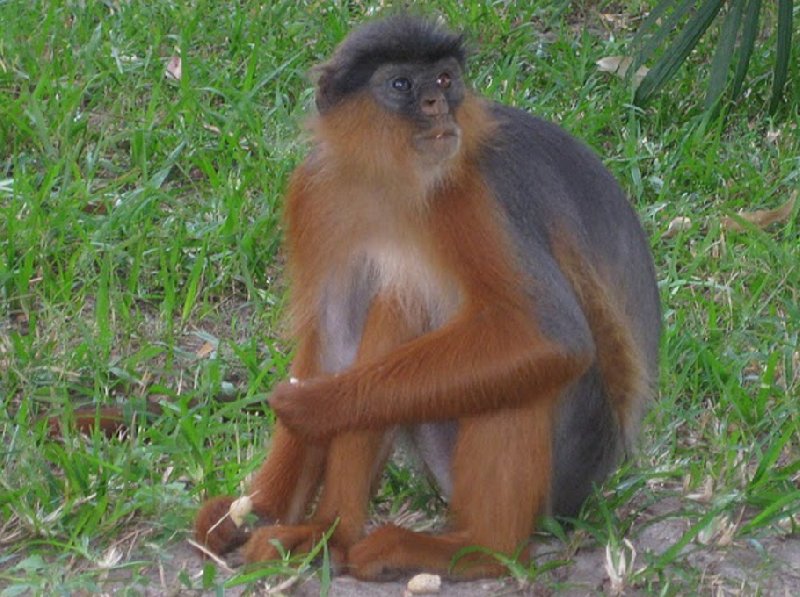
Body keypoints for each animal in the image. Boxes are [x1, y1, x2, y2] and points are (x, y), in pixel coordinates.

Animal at [192, 15, 656, 584]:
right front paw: (260, 510)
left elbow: (551, 335)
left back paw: (475, 550)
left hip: (568, 467)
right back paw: (328, 533)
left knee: (509, 369)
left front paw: (314, 405)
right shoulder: (317, 192)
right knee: (394, 301)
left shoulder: (472, 190)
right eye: (402, 84)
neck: (393, 186)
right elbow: (331, 346)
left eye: (444, 79)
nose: (438, 105)